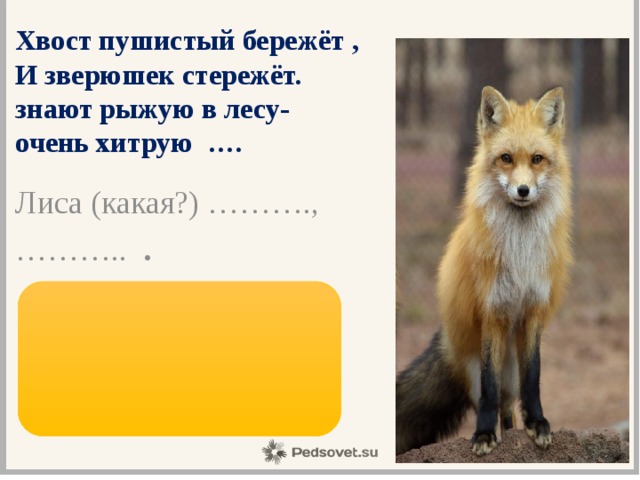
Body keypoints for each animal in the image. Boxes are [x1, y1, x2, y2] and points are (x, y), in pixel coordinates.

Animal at [396, 86, 572, 456]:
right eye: (506, 158)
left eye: (537, 159)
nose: (523, 190)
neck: (519, 251)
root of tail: (448, 338)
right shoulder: (492, 312)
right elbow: (489, 389)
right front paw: (483, 435)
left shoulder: (533, 312)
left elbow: (534, 377)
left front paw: (538, 423)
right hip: (476, 362)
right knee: (493, 397)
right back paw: (498, 432)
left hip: (512, 369)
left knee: (509, 404)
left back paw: (513, 430)